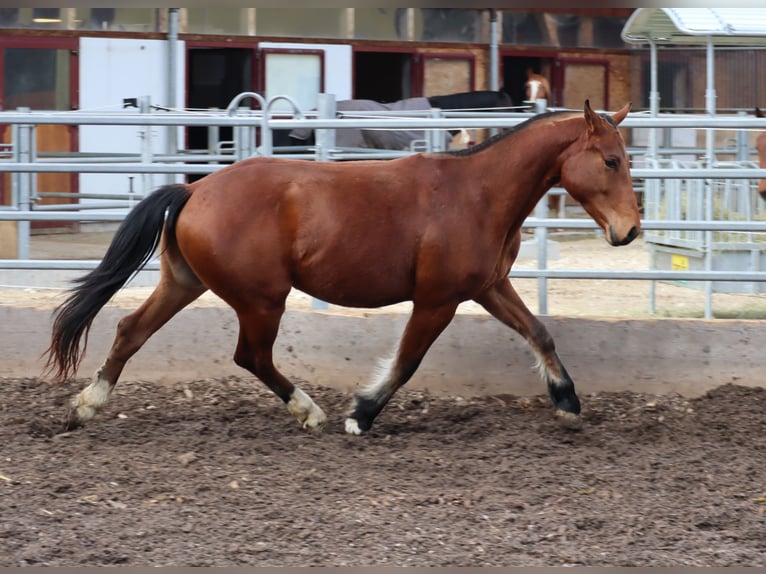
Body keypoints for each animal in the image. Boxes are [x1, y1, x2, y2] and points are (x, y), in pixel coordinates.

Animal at [43, 102, 640, 436]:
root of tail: (193, 190)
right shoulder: (437, 300)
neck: (477, 194)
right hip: (262, 300)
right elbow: (406, 362)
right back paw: (309, 412)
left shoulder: (488, 287)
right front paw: (362, 413)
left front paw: (568, 403)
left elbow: (539, 332)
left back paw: (85, 407)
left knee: (130, 330)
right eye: (611, 160)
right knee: (251, 356)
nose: (630, 230)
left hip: (184, 285)